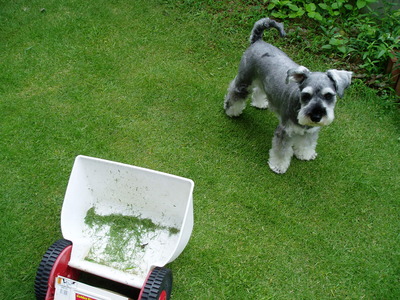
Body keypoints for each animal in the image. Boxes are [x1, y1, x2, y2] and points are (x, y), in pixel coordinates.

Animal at [225, 17, 354, 175]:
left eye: (329, 95)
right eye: (306, 95)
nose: (316, 116)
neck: (299, 106)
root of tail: (258, 41)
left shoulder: (311, 131)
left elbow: (307, 143)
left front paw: (305, 154)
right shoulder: (285, 132)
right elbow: (282, 151)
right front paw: (278, 166)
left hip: (263, 81)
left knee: (259, 89)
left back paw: (260, 103)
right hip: (244, 80)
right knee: (235, 92)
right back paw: (231, 111)